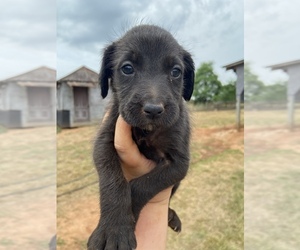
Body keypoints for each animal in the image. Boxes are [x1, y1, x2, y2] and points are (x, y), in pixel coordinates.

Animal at [88, 23, 195, 250]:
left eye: (176, 71)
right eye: (127, 68)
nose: (153, 109)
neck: (148, 130)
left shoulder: (178, 163)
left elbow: (140, 187)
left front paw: (125, 223)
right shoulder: (104, 144)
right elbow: (114, 184)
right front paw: (114, 228)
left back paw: (170, 215)